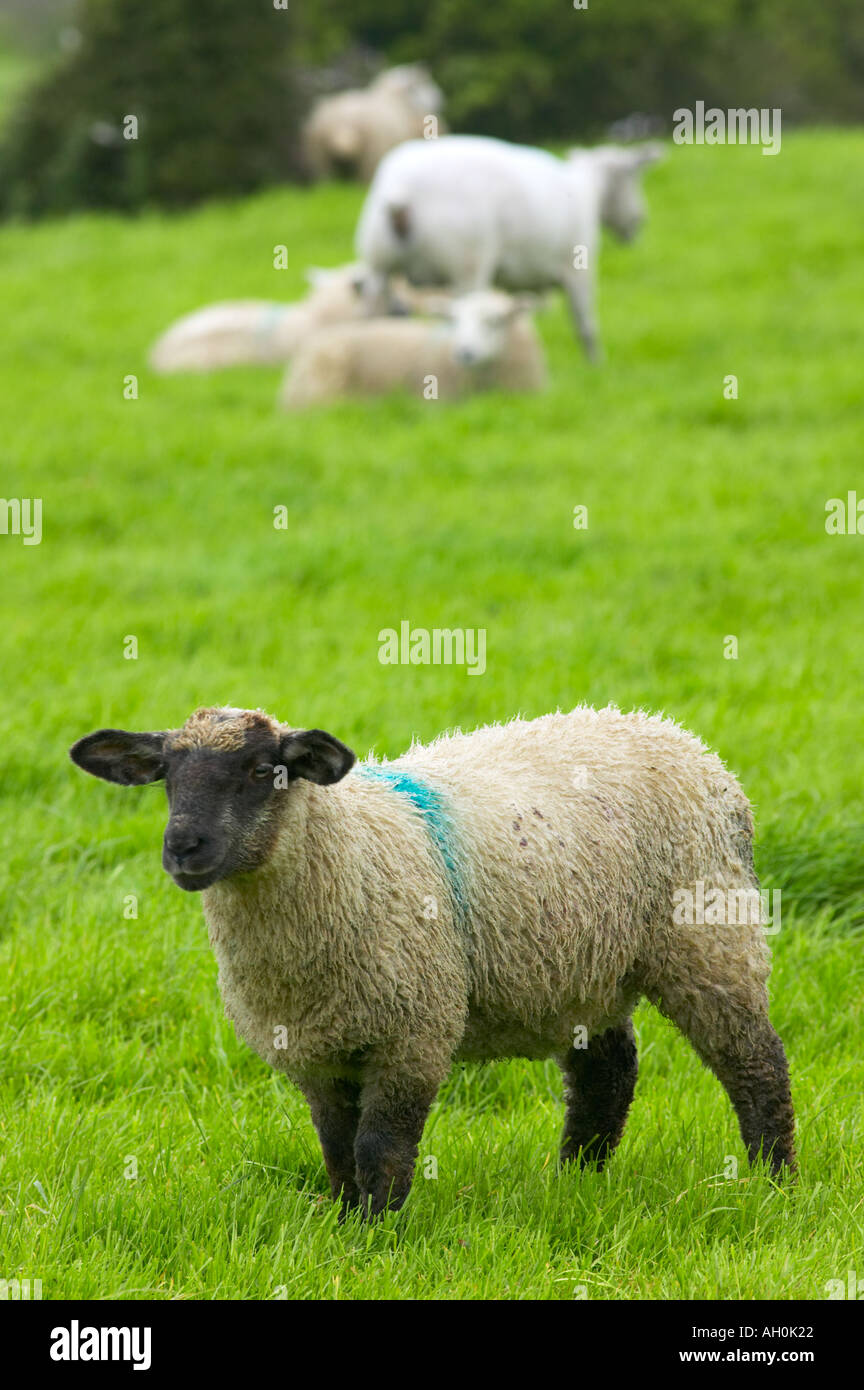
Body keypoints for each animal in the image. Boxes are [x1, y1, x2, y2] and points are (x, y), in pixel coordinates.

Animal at [69, 706, 800, 1217]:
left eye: (262, 772)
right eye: (168, 776)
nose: (183, 848)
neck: (347, 853)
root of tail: (679, 737)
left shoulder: (413, 1033)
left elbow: (380, 1147)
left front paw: (378, 1235)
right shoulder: (313, 1050)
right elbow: (336, 1148)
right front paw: (343, 1222)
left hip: (708, 938)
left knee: (755, 1064)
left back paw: (776, 1182)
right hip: (583, 966)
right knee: (608, 1073)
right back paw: (575, 1181)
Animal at [355, 133, 666, 361]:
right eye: (633, 177)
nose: (640, 222)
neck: (588, 189)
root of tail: (402, 190)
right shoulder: (578, 268)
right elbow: (586, 325)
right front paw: (596, 366)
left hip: (378, 263)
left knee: (369, 316)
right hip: (468, 264)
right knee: (462, 310)